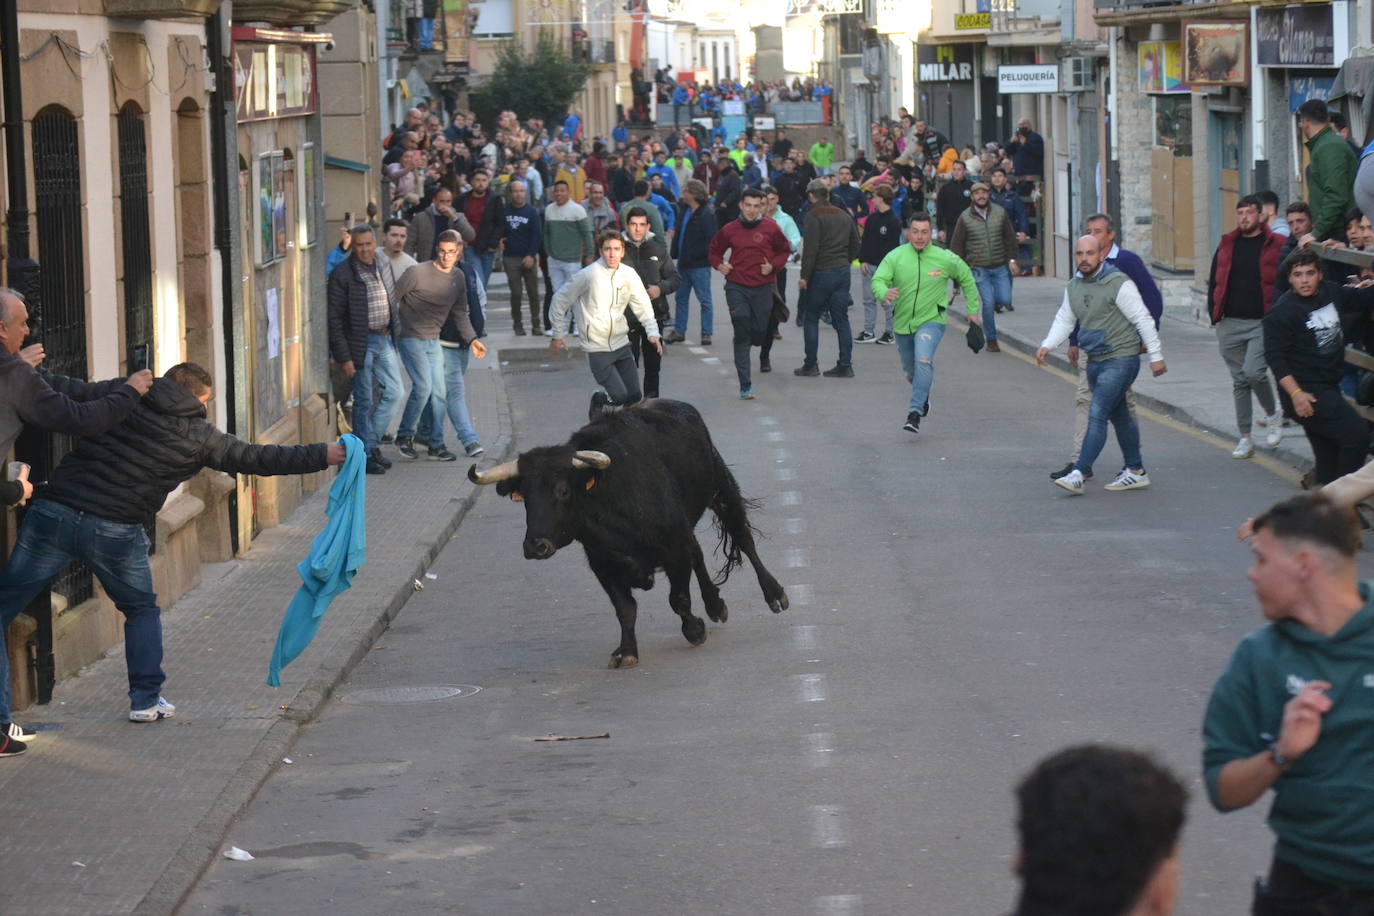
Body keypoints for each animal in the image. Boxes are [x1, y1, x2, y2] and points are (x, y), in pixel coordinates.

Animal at [469, 398, 791, 667]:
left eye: (562, 490)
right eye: (525, 496)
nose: (535, 546)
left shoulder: (674, 550)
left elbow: (678, 599)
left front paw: (694, 630)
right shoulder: (603, 564)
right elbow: (625, 609)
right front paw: (626, 652)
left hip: (721, 486)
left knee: (743, 537)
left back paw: (774, 594)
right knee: (699, 553)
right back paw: (714, 604)